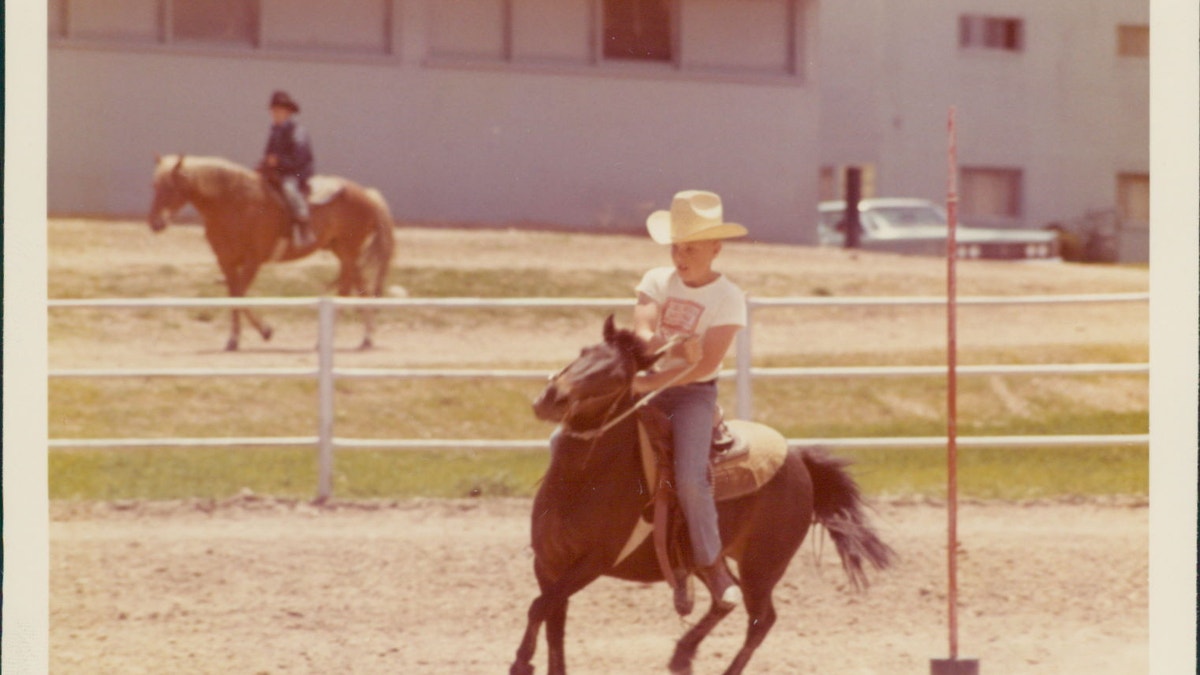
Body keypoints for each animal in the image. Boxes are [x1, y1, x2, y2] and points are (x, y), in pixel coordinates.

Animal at [147, 154, 393, 348]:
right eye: (155, 186)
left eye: (171, 187)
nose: (155, 223)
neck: (234, 202)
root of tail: (367, 194)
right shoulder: (226, 262)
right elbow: (234, 296)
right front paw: (235, 339)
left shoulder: (253, 261)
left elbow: (240, 295)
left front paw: (265, 331)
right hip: (344, 252)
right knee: (361, 287)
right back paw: (366, 338)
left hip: (348, 251)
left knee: (345, 289)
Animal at [511, 317, 897, 672]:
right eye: (582, 353)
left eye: (618, 376)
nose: (550, 398)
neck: (582, 479)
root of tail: (799, 458)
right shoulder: (548, 563)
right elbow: (553, 623)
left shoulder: (593, 562)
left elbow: (538, 606)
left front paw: (521, 662)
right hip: (712, 556)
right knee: (724, 597)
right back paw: (683, 653)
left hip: (763, 566)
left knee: (761, 619)